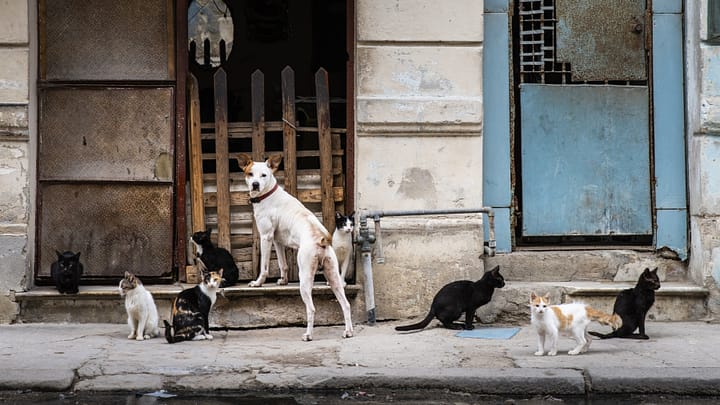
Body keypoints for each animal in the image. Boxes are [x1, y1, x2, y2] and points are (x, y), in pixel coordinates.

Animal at [235, 152, 352, 340]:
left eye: (263, 175)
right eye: (250, 173)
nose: (255, 184)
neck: (268, 195)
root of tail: (320, 239)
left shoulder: (266, 237)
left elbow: (264, 266)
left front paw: (258, 283)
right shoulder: (278, 241)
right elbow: (282, 264)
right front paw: (283, 281)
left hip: (305, 278)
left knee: (311, 308)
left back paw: (308, 335)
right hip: (334, 276)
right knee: (346, 304)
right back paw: (348, 331)